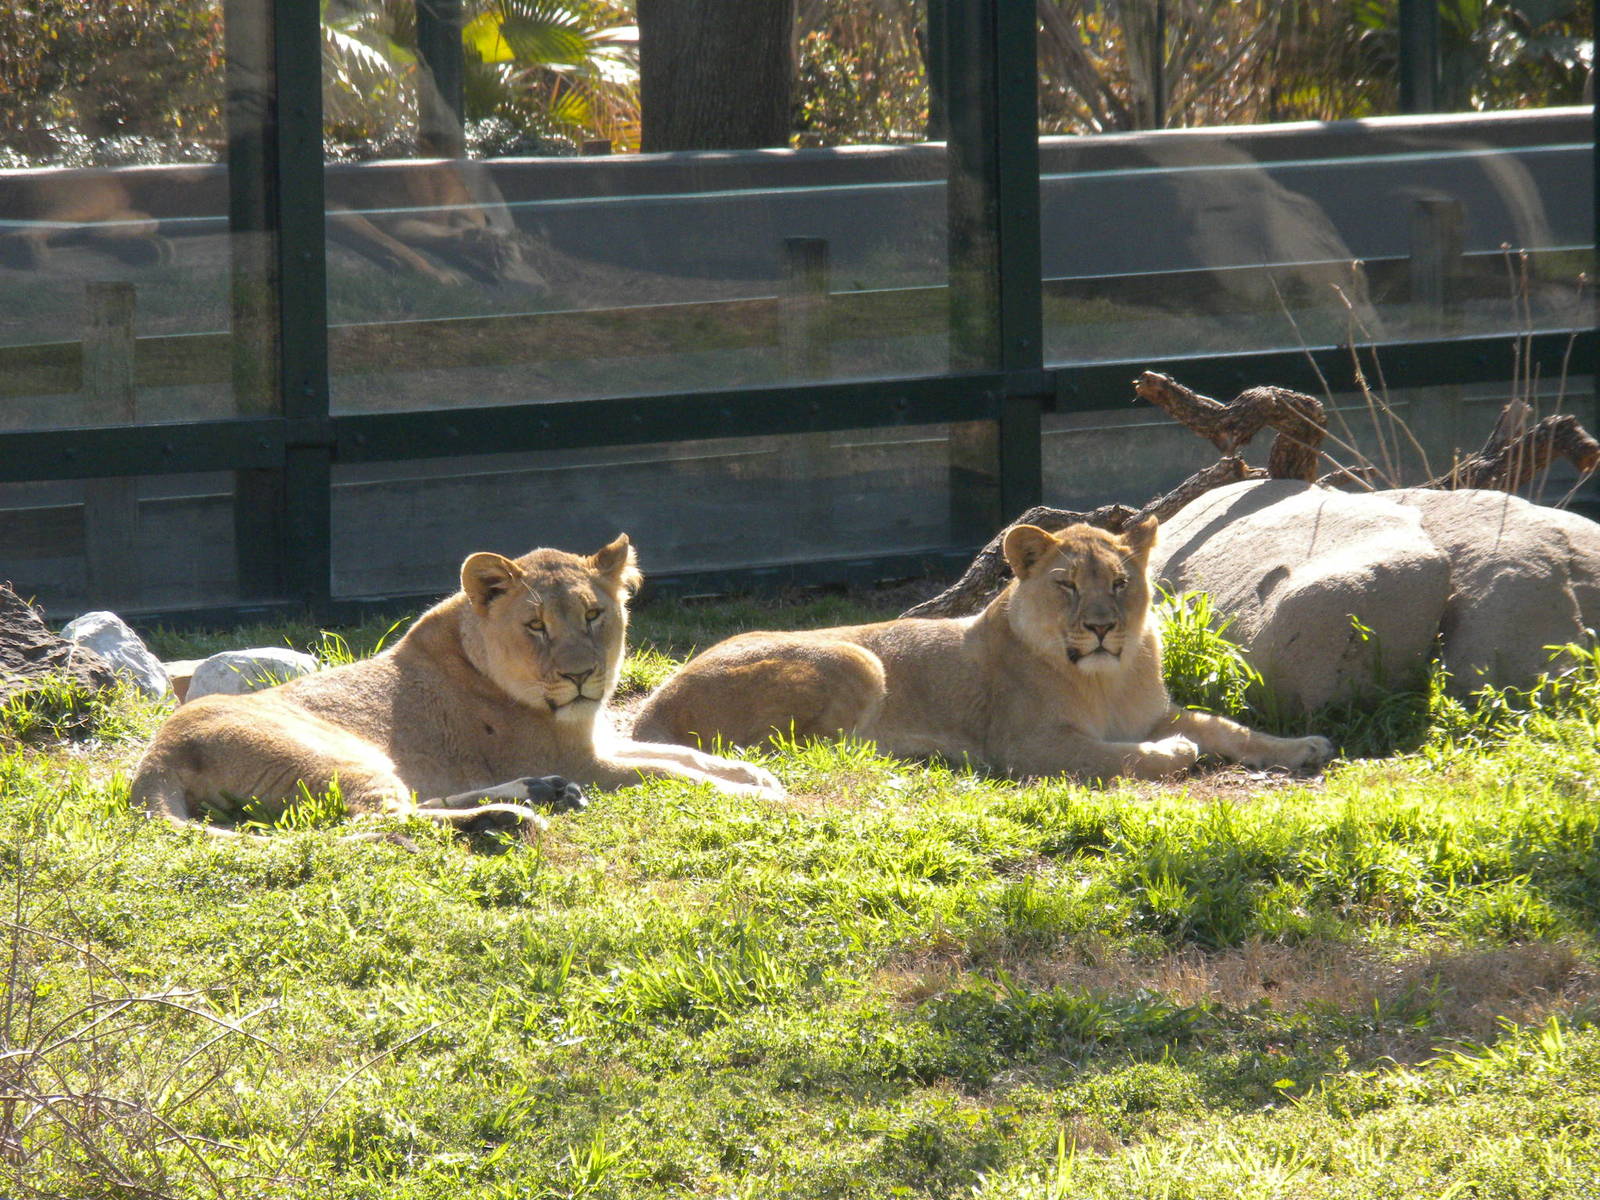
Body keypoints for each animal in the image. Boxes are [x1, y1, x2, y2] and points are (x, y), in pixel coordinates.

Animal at [131, 535, 783, 838]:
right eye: (536, 625)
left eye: (594, 615)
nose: (580, 676)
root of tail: (154, 758)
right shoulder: (592, 762)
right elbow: (670, 772)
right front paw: (758, 796)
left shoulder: (596, 742)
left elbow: (681, 752)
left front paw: (758, 774)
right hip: (341, 755)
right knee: (380, 820)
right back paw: (513, 817)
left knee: (412, 806)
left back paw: (538, 793)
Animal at [633, 519, 1334, 781]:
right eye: (1066, 584)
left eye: (1119, 583)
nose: (1102, 627)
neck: (1106, 677)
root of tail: (652, 706)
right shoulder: (1026, 745)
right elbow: (1111, 755)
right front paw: (1172, 754)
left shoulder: (1152, 711)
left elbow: (1224, 726)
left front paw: (1302, 747)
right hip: (859, 658)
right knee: (808, 749)